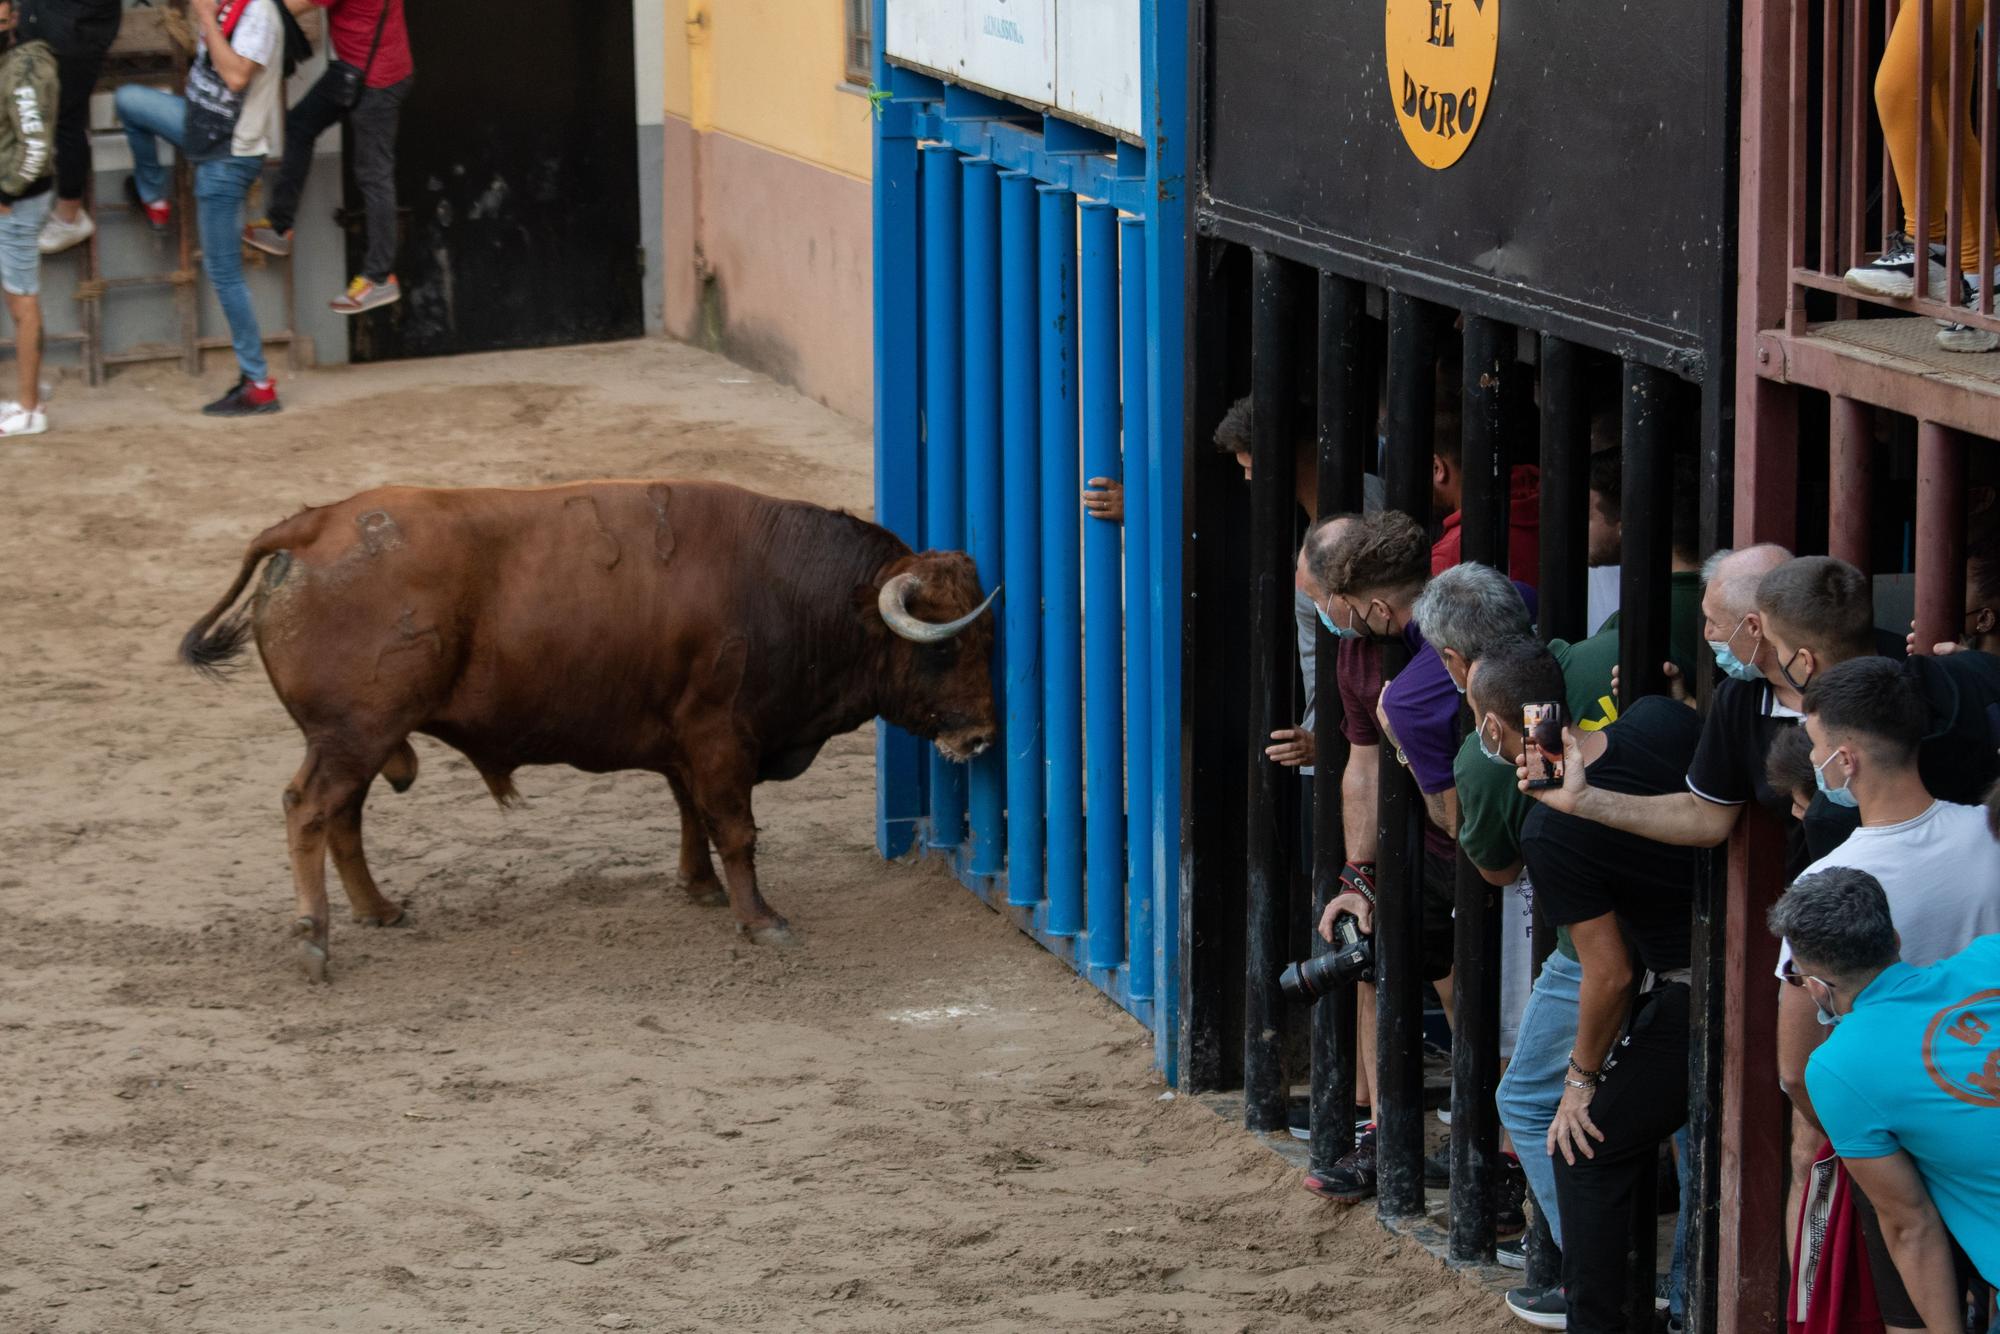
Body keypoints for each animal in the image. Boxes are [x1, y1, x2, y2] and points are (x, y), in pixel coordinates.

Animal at [180, 480, 1000, 980]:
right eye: (946, 646)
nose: (984, 736)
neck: (792, 588)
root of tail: (312, 526)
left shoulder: (684, 742)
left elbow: (690, 814)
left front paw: (699, 887)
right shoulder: (719, 738)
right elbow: (735, 828)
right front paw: (759, 918)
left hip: (361, 739)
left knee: (343, 816)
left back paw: (378, 910)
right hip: (353, 735)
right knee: (310, 810)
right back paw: (314, 939)